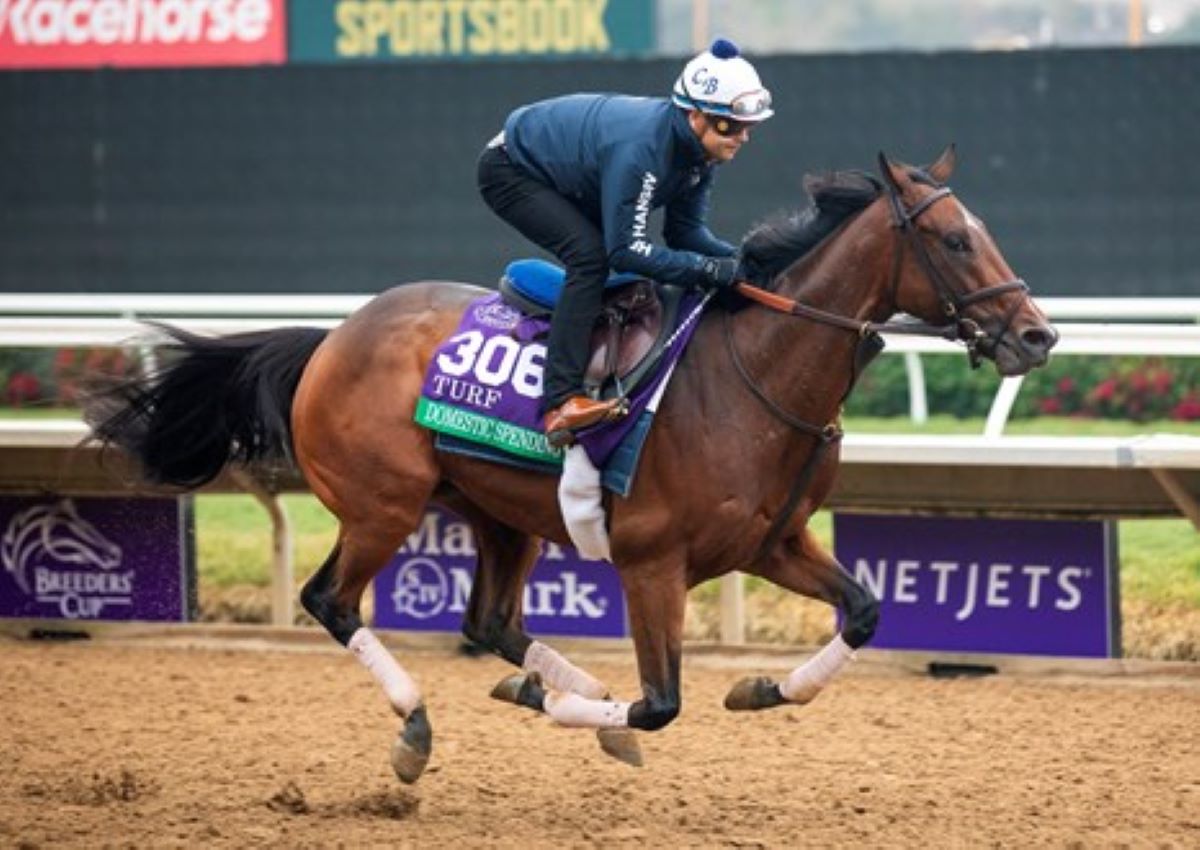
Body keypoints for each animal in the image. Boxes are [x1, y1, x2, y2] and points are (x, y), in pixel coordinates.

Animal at [87, 147, 1060, 782]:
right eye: (956, 240)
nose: (1036, 335)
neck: (755, 373)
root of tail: (334, 337)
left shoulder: (773, 542)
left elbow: (863, 613)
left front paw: (756, 688)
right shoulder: (651, 561)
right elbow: (662, 703)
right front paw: (619, 716)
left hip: (496, 514)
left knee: (489, 621)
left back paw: (548, 687)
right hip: (383, 504)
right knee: (332, 600)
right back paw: (421, 726)